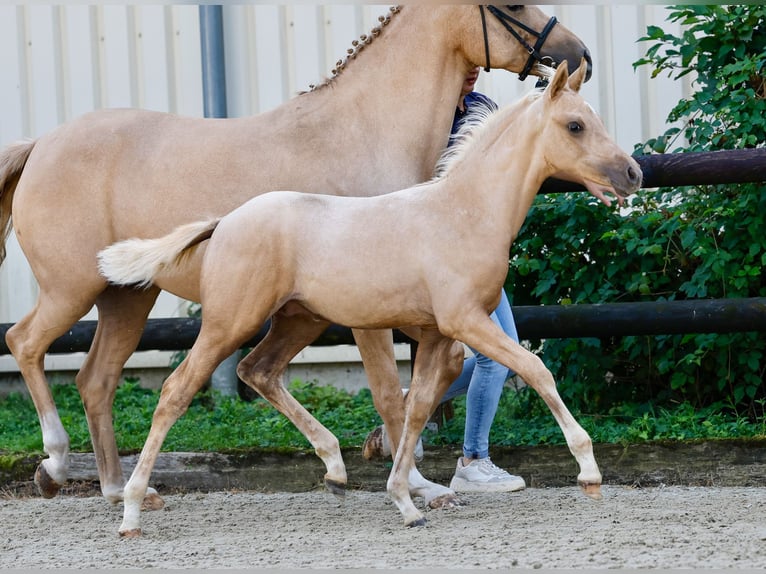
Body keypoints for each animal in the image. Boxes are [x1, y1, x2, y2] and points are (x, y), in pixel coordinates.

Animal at [100, 60, 640, 536]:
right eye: (575, 125)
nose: (632, 174)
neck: (464, 213)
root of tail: (225, 221)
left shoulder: (436, 335)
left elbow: (416, 407)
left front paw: (406, 502)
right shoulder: (465, 321)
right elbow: (536, 370)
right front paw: (589, 472)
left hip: (299, 320)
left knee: (258, 371)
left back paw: (335, 469)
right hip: (228, 323)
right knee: (176, 392)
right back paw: (131, 511)